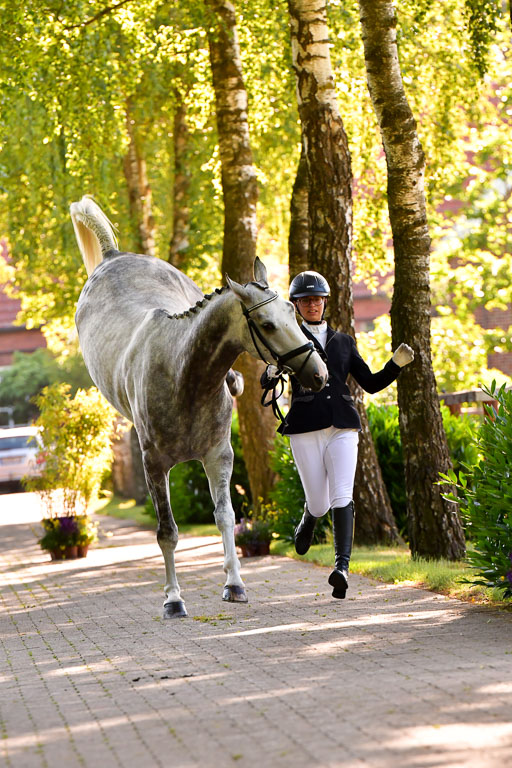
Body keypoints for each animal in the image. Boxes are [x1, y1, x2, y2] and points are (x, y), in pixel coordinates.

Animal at [70, 196, 328, 618]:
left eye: (293, 312)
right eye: (267, 324)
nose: (320, 374)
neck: (184, 373)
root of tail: (111, 257)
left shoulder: (219, 455)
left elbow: (225, 517)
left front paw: (235, 584)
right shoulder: (154, 465)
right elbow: (167, 532)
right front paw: (173, 599)